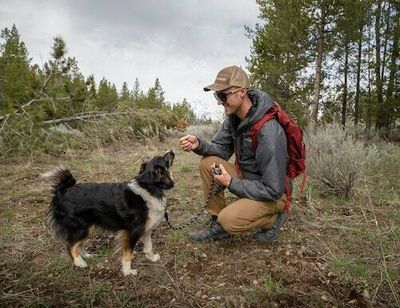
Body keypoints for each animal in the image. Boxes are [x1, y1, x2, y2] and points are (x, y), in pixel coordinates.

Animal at [44, 150, 175, 276]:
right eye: (164, 159)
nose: (171, 150)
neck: (149, 187)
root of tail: (63, 191)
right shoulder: (133, 232)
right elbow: (128, 253)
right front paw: (127, 271)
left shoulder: (146, 229)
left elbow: (149, 247)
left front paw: (151, 258)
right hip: (81, 228)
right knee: (70, 245)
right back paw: (79, 262)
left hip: (89, 228)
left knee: (78, 244)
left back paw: (86, 256)